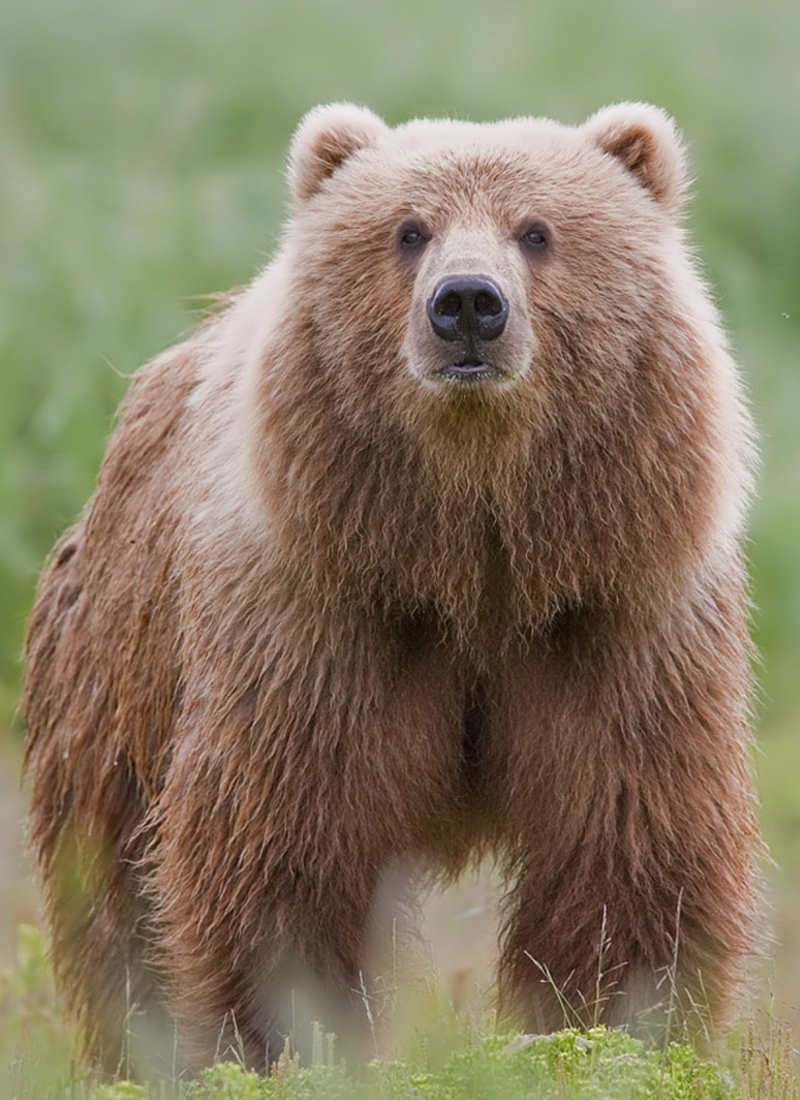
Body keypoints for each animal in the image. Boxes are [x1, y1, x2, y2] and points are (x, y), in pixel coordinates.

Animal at [23, 102, 762, 1076]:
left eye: (536, 231)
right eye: (409, 231)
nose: (468, 304)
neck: (468, 558)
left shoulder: (615, 616)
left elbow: (628, 844)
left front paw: (612, 1033)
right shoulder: (320, 621)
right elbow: (288, 850)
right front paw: (293, 1042)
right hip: (116, 677)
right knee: (114, 903)